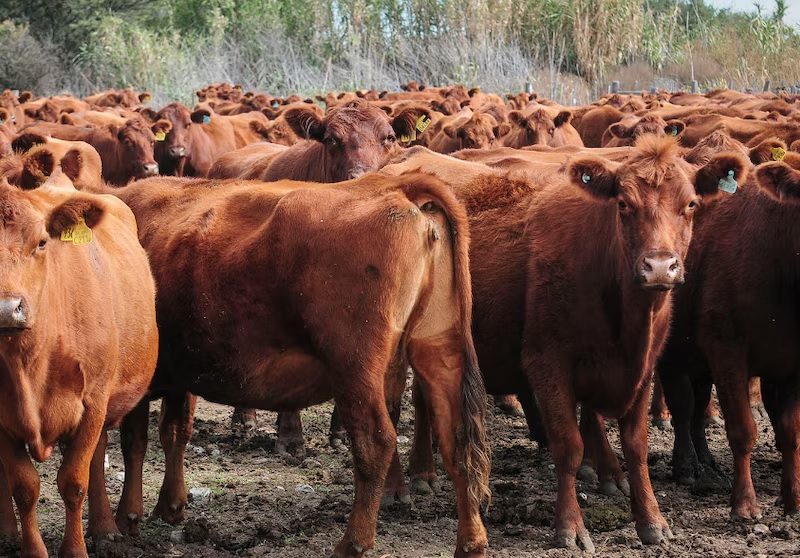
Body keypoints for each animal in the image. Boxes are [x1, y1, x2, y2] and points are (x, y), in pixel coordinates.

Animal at [0, 178, 158, 558]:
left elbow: (74, 481)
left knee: (96, 460)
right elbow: (23, 486)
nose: (6, 308)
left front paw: (74, 549)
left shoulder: (92, 403)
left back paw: (104, 529)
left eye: (42, 242)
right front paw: (33, 551)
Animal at [110, 172, 491, 558]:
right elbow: (174, 432)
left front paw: (127, 518)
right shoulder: (181, 376)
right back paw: (471, 543)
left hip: (355, 369)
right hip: (437, 350)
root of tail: (396, 186)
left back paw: (352, 543)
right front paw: (169, 507)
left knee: (375, 443)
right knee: (458, 442)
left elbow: (135, 442)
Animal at [658, 152, 800, 520]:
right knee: (683, 406)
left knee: (697, 408)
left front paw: (792, 498)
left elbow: (790, 431)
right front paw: (745, 505)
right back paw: (687, 466)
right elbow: (742, 431)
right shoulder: (726, 349)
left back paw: (707, 465)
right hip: (672, 353)